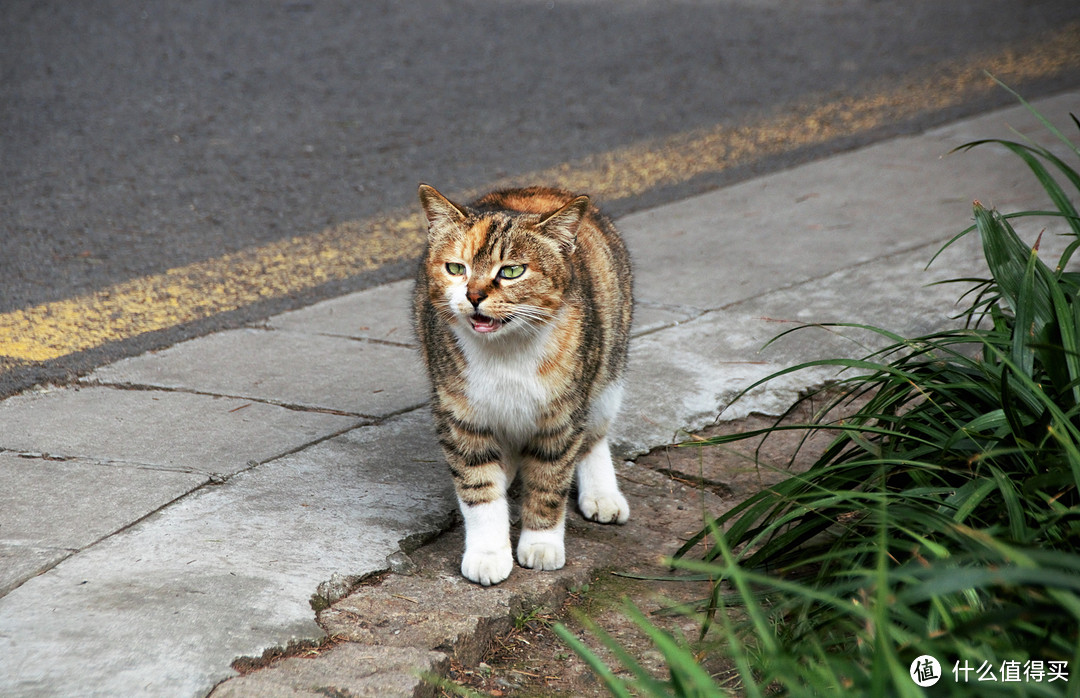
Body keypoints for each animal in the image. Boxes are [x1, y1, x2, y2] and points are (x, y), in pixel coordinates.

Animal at [412, 183, 630, 587]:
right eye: (456, 268)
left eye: (512, 271)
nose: (473, 295)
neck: (506, 353)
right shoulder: (459, 415)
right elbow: (478, 487)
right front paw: (488, 553)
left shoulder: (563, 416)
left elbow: (549, 481)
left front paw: (541, 544)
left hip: (608, 373)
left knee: (594, 437)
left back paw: (602, 495)